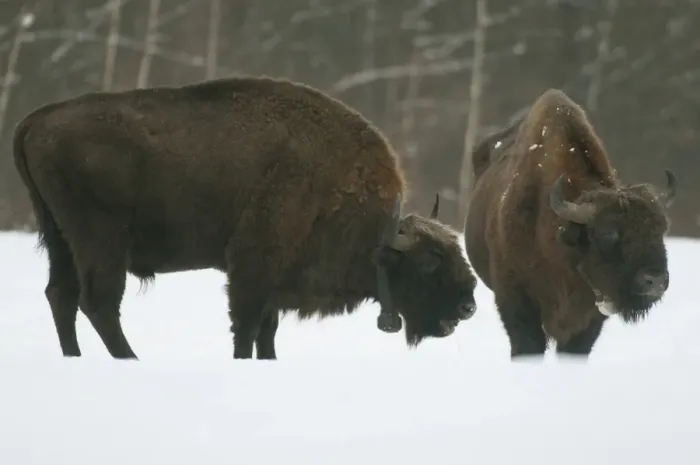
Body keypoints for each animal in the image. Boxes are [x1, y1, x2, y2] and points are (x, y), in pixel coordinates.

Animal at [13, 75, 478, 360]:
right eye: (429, 260)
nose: (469, 305)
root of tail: (35, 119)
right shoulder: (253, 268)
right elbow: (247, 327)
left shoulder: (275, 279)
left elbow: (266, 332)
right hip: (101, 240)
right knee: (99, 303)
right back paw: (131, 359)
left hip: (60, 238)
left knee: (61, 296)